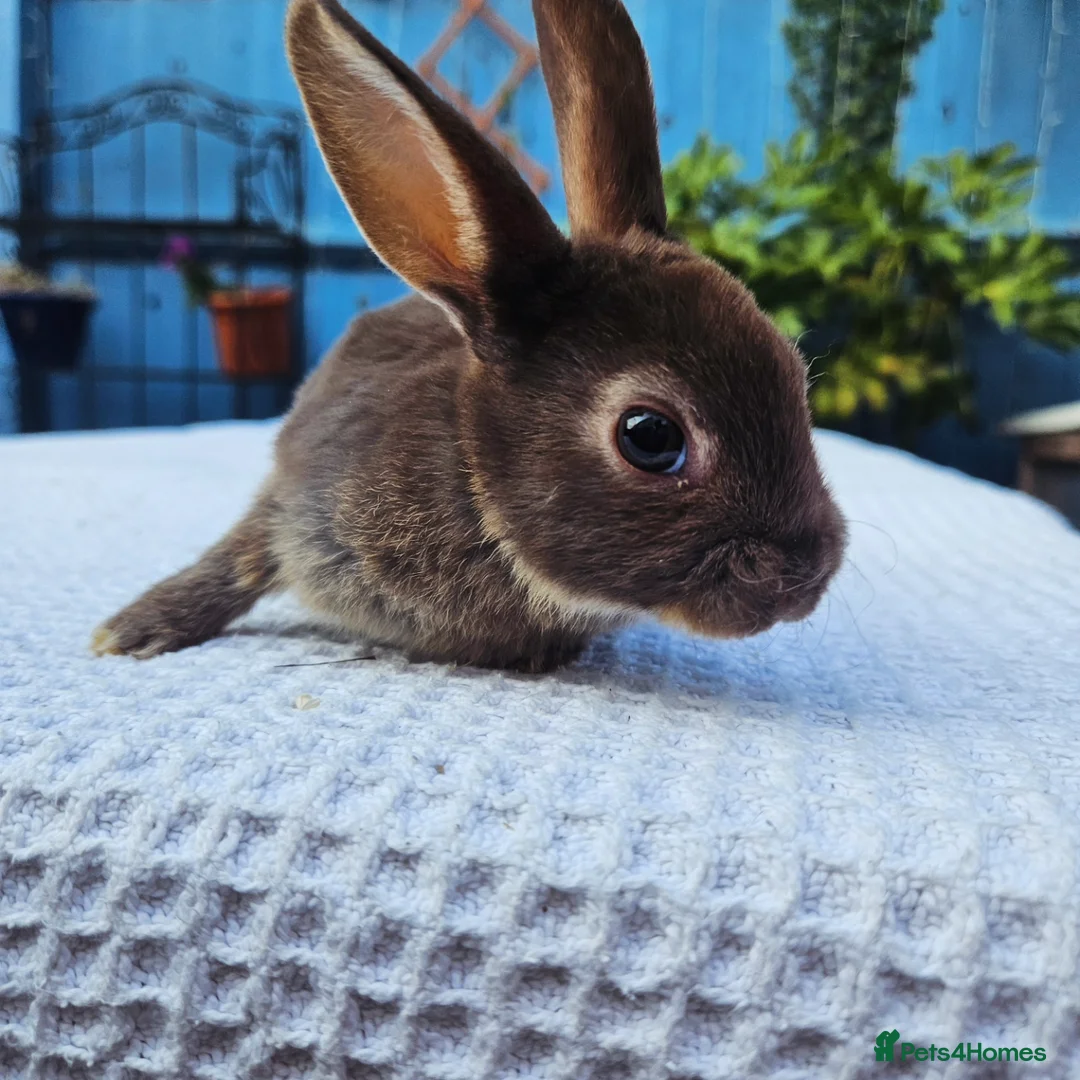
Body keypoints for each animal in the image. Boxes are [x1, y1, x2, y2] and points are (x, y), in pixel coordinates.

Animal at [90, 0, 847, 674]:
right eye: (650, 436)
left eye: (793, 372)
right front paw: (134, 630)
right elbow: (244, 559)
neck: (476, 483)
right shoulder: (297, 509)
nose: (807, 578)